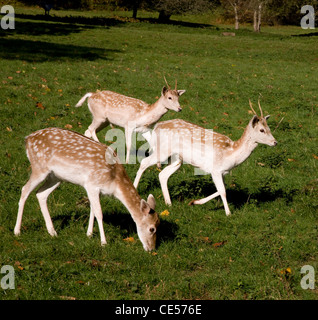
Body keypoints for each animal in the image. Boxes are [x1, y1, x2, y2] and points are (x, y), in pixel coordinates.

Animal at [14, 127, 160, 250]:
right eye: (152, 229)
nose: (152, 249)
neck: (114, 181)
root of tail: (27, 139)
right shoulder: (92, 184)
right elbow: (99, 213)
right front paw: (103, 242)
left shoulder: (96, 190)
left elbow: (92, 210)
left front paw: (89, 234)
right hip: (39, 167)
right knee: (24, 190)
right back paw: (17, 231)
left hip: (56, 177)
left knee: (41, 194)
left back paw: (53, 232)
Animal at [133, 100, 278, 215]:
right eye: (261, 130)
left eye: (269, 128)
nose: (275, 142)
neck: (231, 153)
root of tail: (156, 127)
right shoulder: (215, 169)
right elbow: (223, 191)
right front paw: (228, 213)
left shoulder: (223, 172)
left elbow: (221, 190)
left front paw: (194, 202)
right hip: (162, 151)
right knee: (144, 162)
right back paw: (134, 189)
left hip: (177, 159)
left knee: (162, 174)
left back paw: (169, 203)